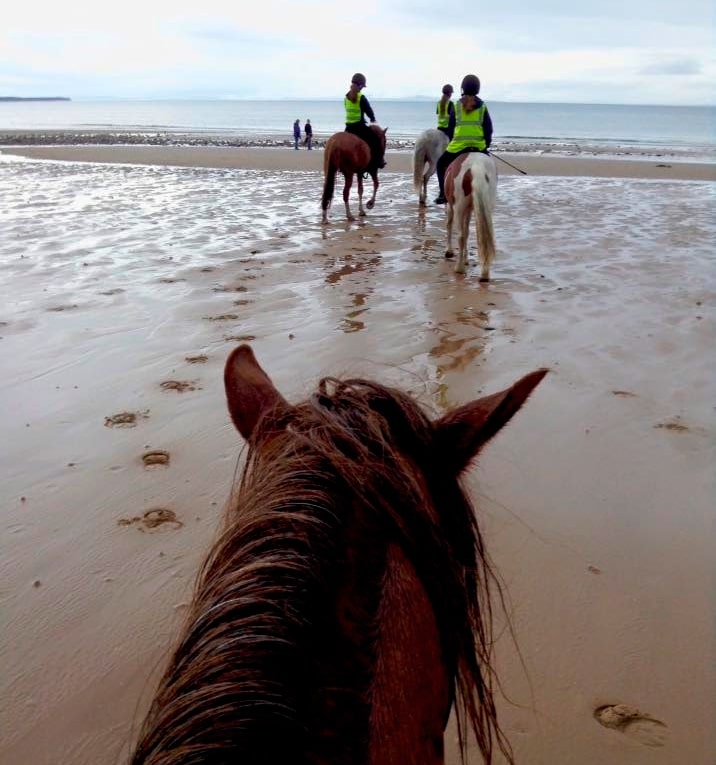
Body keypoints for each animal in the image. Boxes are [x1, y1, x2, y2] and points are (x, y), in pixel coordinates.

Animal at [442, 151, 498, 280]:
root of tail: (476, 165)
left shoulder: (451, 207)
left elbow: (450, 225)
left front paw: (449, 251)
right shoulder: (469, 210)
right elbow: (467, 232)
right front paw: (466, 259)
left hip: (458, 207)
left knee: (461, 236)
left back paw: (459, 268)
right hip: (486, 205)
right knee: (484, 235)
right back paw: (484, 273)